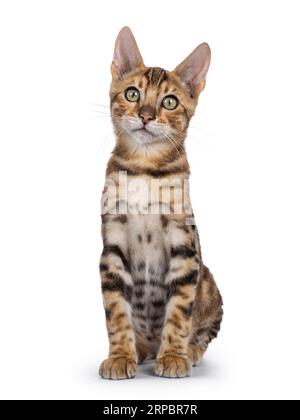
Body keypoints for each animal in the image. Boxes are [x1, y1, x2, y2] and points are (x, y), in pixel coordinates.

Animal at [99, 27, 223, 380]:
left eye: (170, 101)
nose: (146, 115)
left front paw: (174, 356)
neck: (144, 167)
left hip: (209, 283)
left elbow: (179, 312)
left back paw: (188, 351)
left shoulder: (184, 246)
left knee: (204, 331)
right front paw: (120, 356)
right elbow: (116, 312)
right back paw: (141, 349)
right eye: (132, 94)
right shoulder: (112, 247)